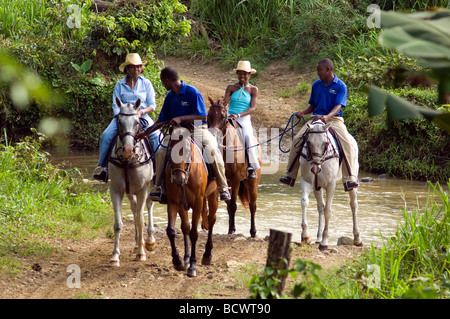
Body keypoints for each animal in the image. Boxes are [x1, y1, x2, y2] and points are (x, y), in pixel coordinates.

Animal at [108, 98, 156, 268]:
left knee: (148, 205)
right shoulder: (116, 190)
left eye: (136, 122)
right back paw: (137, 243)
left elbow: (141, 220)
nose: (128, 150)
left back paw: (149, 241)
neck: (128, 162)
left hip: (151, 186)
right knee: (135, 210)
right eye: (119, 121)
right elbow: (118, 224)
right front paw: (115, 256)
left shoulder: (142, 190)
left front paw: (141, 253)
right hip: (130, 192)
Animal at [165, 125, 218, 278]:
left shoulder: (198, 202)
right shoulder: (174, 202)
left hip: (213, 195)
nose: (178, 179)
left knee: (212, 219)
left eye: (188, 151)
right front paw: (178, 261)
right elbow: (172, 230)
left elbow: (194, 233)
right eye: (170, 149)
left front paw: (192, 266)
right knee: (185, 227)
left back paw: (207, 255)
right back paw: (186, 258)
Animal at [207, 97, 262, 238]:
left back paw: (253, 232)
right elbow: (228, 204)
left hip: (252, 182)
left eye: (223, 116)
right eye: (208, 115)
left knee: (253, 205)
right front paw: (231, 228)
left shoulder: (236, 179)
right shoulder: (221, 181)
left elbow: (233, 205)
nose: (213, 136)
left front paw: (232, 229)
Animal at [298, 119, 362, 251]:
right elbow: (304, 202)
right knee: (320, 207)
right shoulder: (307, 181)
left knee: (353, 205)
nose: (315, 169)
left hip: (351, 179)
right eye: (308, 142)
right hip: (317, 187)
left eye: (326, 143)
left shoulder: (331, 184)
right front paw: (305, 236)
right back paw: (318, 237)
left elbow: (328, 211)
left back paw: (357, 239)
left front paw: (324, 242)